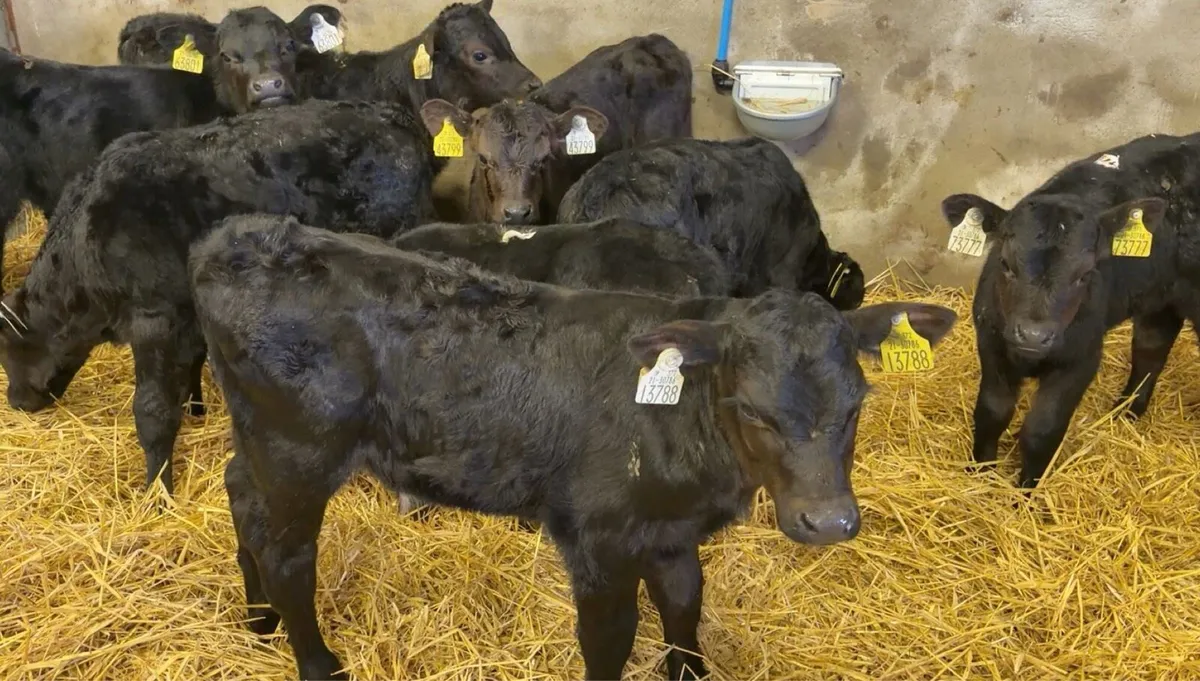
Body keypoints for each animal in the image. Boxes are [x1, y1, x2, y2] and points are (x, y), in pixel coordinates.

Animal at [0, 99, 437, 497]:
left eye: (6, 354)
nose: (16, 401)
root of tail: (395, 115)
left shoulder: (155, 318)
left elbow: (152, 411)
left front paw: (158, 493)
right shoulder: (188, 312)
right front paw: (196, 410)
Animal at [189, 212, 958, 681]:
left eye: (856, 406)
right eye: (754, 410)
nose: (827, 522)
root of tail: (242, 235)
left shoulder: (671, 532)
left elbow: (685, 605)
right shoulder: (598, 538)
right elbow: (611, 637)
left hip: (259, 441)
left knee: (239, 494)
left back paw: (258, 618)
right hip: (299, 449)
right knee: (288, 552)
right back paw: (317, 660)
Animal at [942, 133, 1197, 488]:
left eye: (1084, 274)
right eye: (1005, 264)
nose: (1034, 335)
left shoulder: (1080, 358)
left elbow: (1042, 431)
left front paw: (1025, 493)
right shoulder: (991, 343)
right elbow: (992, 412)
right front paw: (980, 476)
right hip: (1161, 297)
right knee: (1151, 348)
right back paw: (1125, 413)